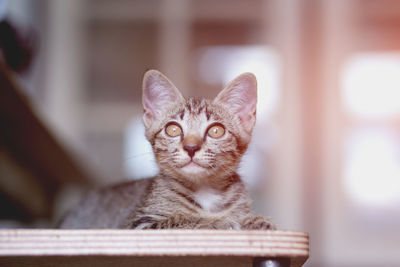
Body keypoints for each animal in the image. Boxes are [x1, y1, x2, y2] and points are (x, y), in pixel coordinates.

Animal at [60, 70, 276, 231]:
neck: (205, 191)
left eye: (216, 131)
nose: (191, 147)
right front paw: (221, 221)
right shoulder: (139, 224)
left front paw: (254, 220)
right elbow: (184, 220)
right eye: (173, 129)